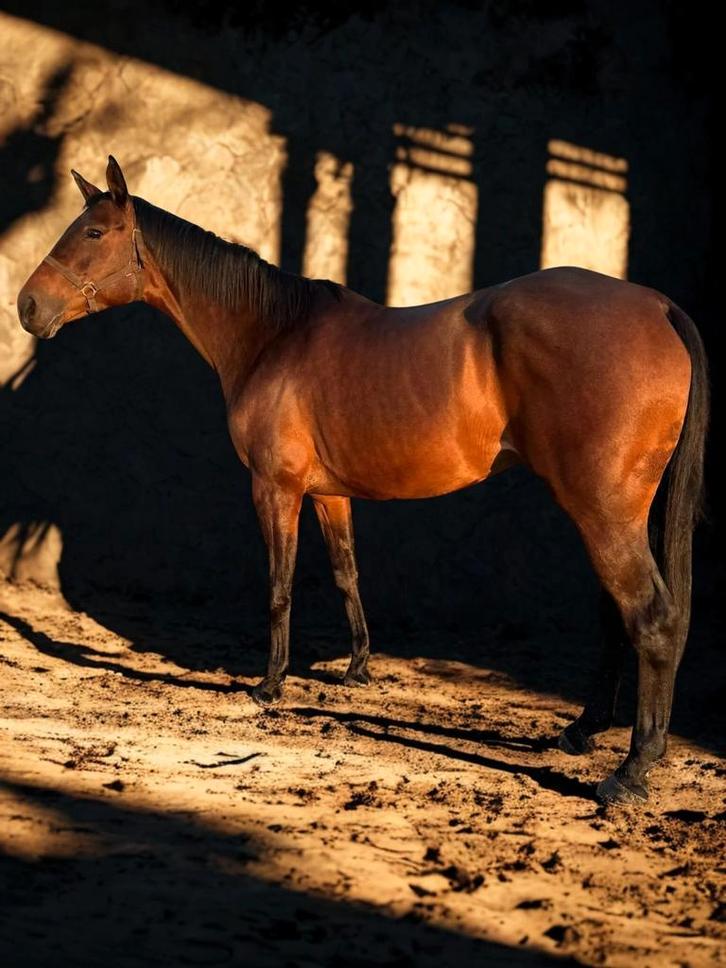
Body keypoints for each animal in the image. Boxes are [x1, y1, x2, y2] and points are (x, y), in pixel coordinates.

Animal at [17, 156, 708, 806]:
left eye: (94, 231)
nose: (27, 306)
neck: (273, 335)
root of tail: (658, 305)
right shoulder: (330, 494)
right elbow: (346, 572)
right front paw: (356, 669)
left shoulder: (276, 488)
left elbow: (280, 584)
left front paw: (269, 685)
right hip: (619, 511)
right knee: (616, 614)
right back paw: (585, 730)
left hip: (602, 509)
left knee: (651, 617)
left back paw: (633, 770)